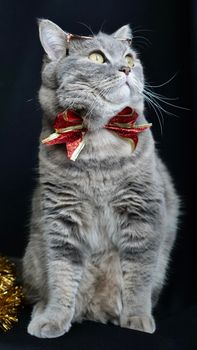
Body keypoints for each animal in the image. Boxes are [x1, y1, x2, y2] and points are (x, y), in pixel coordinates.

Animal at [22, 18, 179, 336]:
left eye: (130, 59)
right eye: (97, 58)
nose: (126, 69)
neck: (100, 151)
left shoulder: (143, 213)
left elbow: (139, 275)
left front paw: (137, 318)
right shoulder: (61, 216)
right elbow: (61, 274)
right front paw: (54, 318)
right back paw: (43, 311)